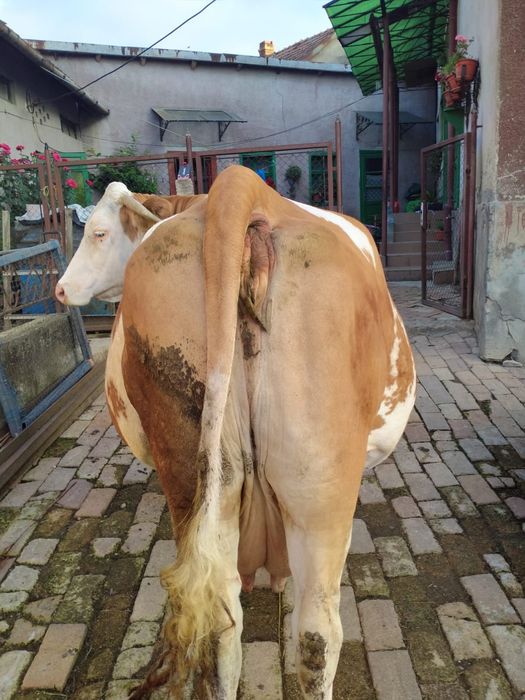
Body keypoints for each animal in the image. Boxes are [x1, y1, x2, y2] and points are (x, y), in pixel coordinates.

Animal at [56, 166, 416, 699]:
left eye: (98, 233)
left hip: (201, 471)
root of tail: (239, 186)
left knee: (222, 626)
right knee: (317, 633)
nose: (60, 291)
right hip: (320, 489)